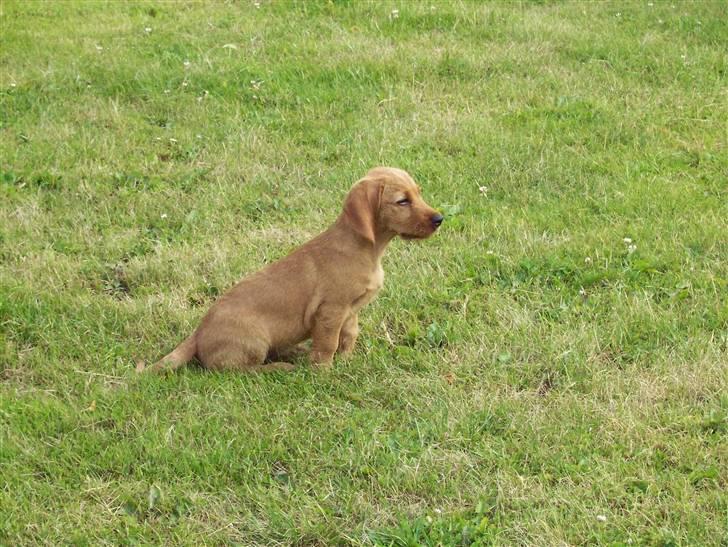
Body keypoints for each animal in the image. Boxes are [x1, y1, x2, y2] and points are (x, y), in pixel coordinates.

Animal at [140, 165, 440, 374]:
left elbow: (349, 336)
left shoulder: (350, 310)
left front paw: (346, 362)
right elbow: (327, 344)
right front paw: (324, 373)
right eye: (402, 201)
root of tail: (198, 333)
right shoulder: (330, 311)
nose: (440, 219)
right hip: (256, 340)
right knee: (238, 370)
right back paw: (279, 367)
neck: (368, 250)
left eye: (418, 193)